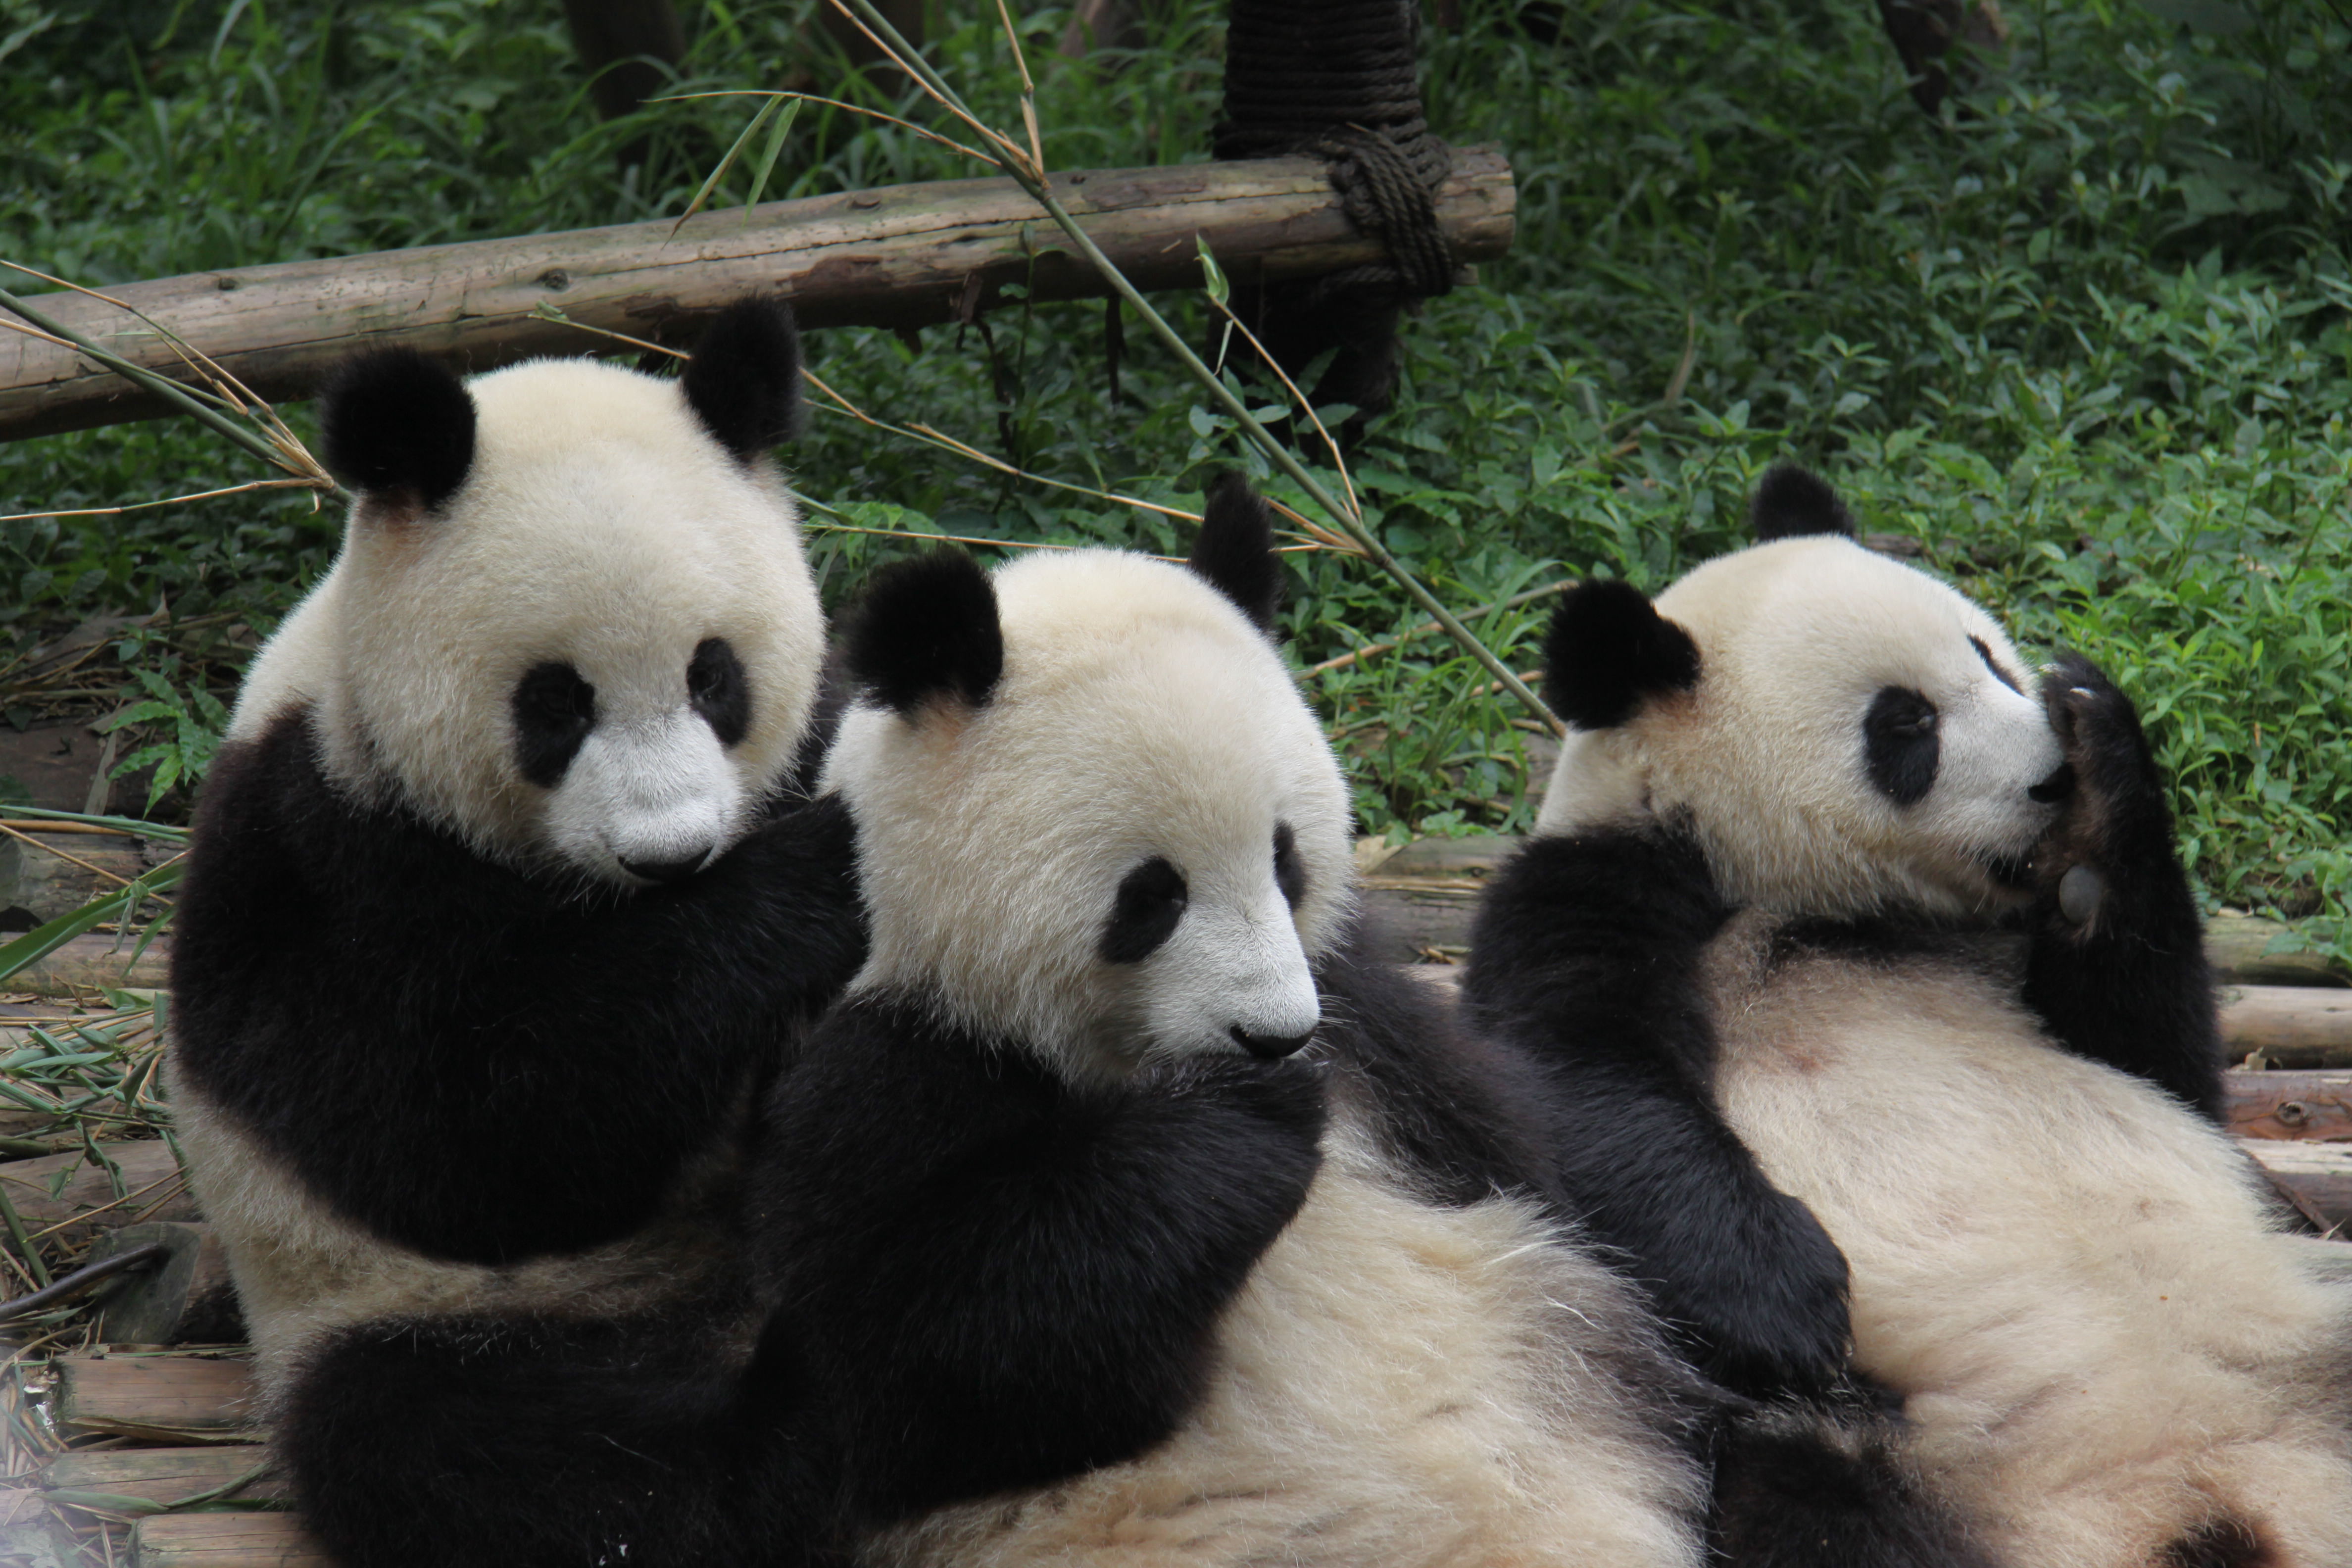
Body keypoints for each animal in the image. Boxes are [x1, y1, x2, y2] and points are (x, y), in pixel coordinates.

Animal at [166, 299, 867, 1568]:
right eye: (556, 701)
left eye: (714, 677)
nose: (671, 853)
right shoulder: (322, 847)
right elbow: (465, 1139)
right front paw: (811, 881)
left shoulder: (814, 732)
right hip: (407, 1315)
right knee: (508, 1455)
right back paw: (795, 1412)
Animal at [745, 474, 1713, 1568]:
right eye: (1151, 896)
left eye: (1285, 859)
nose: (1274, 1038)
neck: (1117, 1064)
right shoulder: (894, 1057)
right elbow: (929, 1363)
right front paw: (1242, 1121)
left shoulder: (1374, 1030)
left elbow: (1528, 1150)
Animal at [1460, 465, 2352, 1568]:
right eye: (1905, 724)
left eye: (1988, 656)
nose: (2051, 778)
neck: (1818, 903)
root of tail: (2202, 1494)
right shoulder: (1594, 890)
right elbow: (1575, 1080)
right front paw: (1785, 1295)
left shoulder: (2019, 951)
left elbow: (2161, 1058)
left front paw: (2103, 757)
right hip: (1890, 1449)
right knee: (1806, 1500)